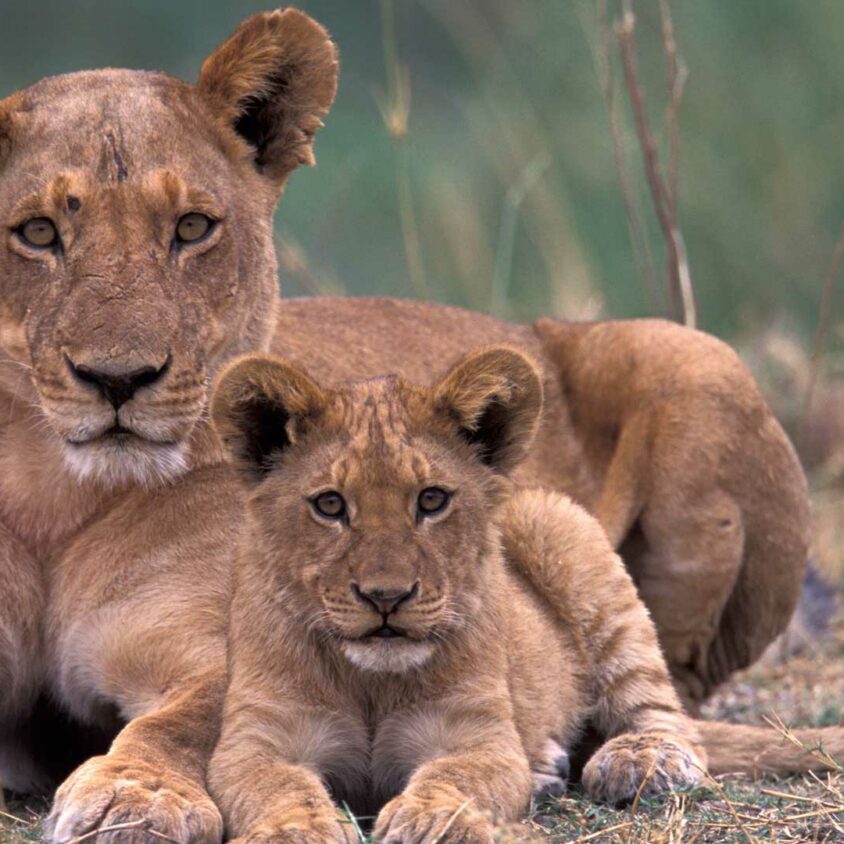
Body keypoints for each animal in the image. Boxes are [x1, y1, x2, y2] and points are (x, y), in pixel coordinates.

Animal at [207, 346, 839, 843]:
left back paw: (640, 759)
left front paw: (433, 821)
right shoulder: (254, 741)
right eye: (331, 504)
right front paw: (295, 829)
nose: (386, 597)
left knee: (670, 718)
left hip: (556, 522)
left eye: (432, 500)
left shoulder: (479, 735)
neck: (369, 685)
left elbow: (457, 778)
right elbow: (276, 786)